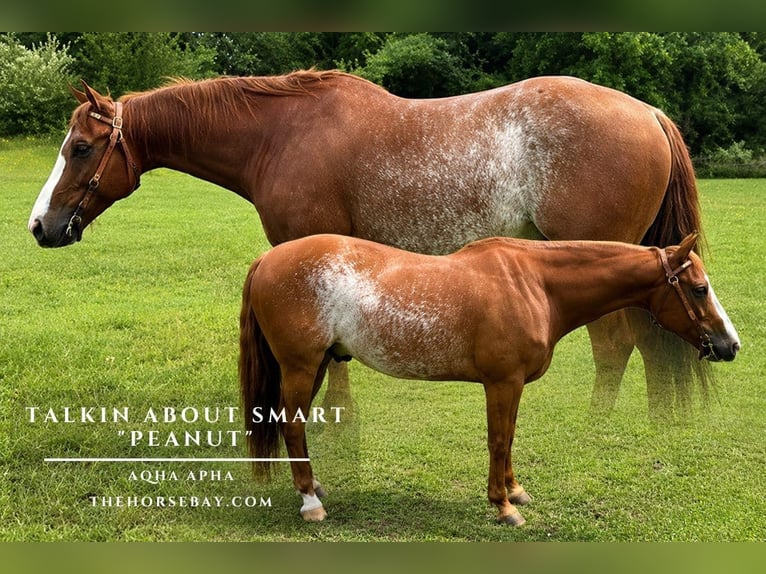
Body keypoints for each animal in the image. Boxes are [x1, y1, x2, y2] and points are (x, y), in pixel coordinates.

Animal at [28, 70, 706, 417]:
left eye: (81, 148)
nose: (39, 225)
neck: (280, 134)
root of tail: (647, 112)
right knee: (654, 344)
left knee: (616, 347)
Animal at [238, 233, 739, 525]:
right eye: (699, 289)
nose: (730, 345)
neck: (534, 283)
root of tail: (267, 259)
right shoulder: (502, 382)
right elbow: (498, 439)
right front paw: (502, 505)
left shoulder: (510, 387)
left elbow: (510, 436)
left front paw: (515, 491)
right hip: (301, 365)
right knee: (292, 425)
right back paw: (311, 503)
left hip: (319, 364)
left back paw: (315, 487)